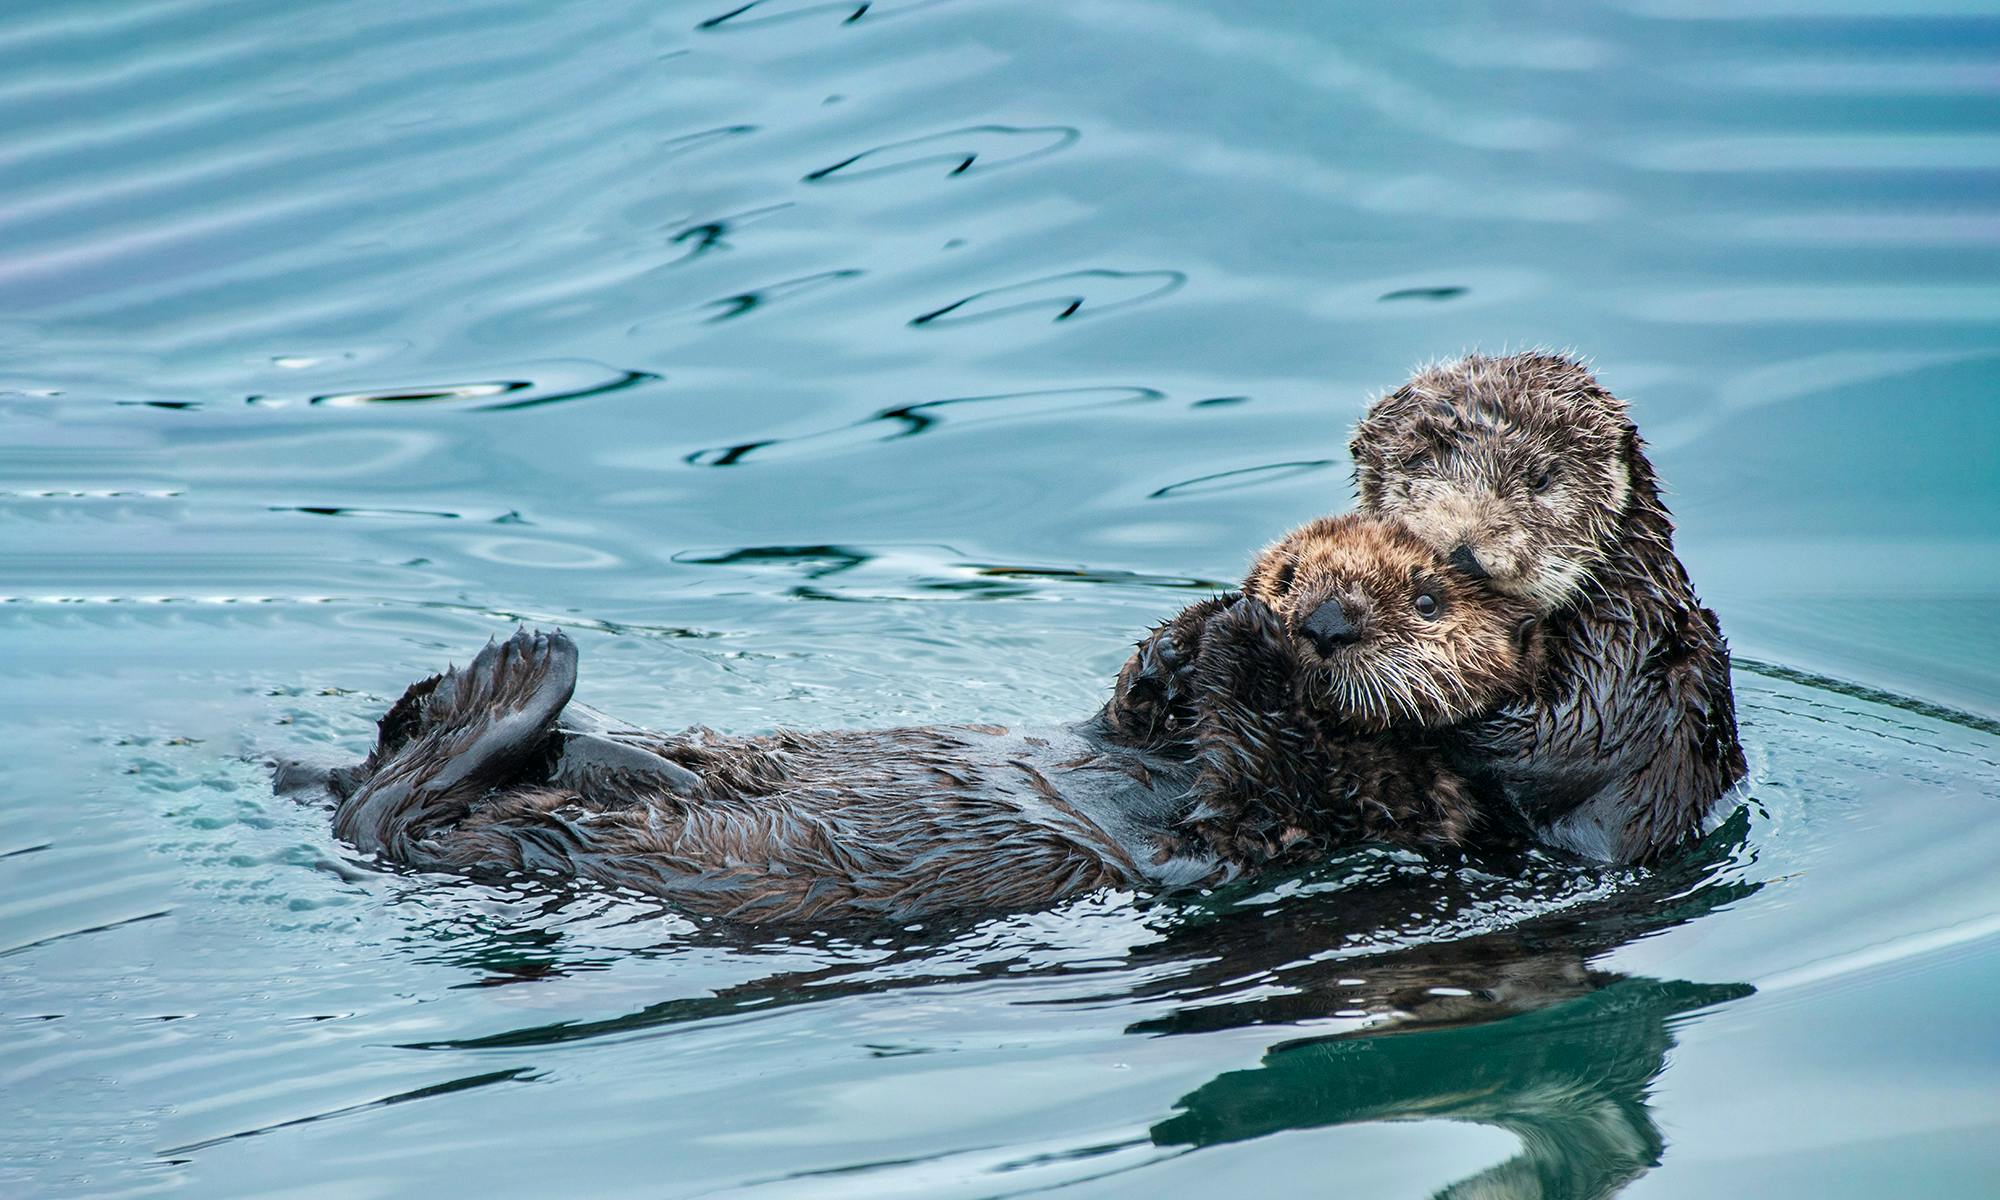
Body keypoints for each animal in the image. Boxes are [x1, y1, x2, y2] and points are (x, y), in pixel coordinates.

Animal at [320, 512, 1536, 920]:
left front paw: (1245, 646)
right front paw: (1188, 638)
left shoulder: (1246, 835)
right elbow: (1133, 716)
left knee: (400, 802)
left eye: (1425, 601)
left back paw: (523, 670)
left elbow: (1257, 777)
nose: (1313, 612)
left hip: (469, 830)